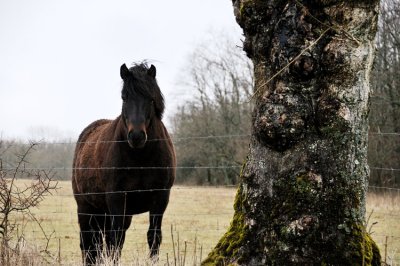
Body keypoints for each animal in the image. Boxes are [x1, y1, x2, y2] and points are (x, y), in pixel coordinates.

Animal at [72, 62, 175, 264]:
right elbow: (115, 239)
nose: (136, 136)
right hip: (85, 208)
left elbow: (154, 237)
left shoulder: (160, 198)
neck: (141, 159)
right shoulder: (116, 198)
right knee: (88, 243)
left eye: (150, 99)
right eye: (124, 97)